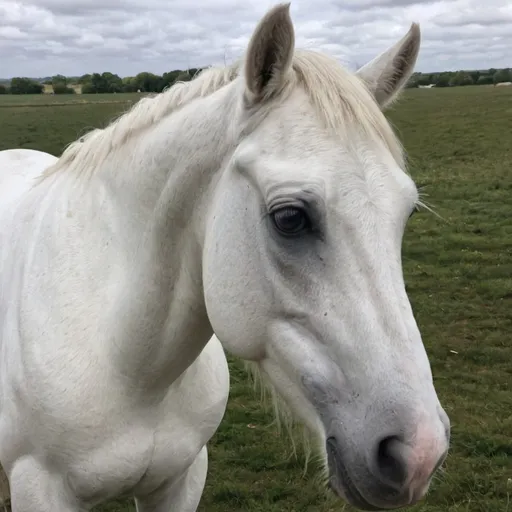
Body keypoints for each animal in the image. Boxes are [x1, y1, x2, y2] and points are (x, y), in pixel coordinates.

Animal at [0, 5, 450, 512]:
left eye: (407, 212)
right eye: (289, 217)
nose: (419, 453)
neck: (125, 364)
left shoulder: (181, 479)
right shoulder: (40, 486)